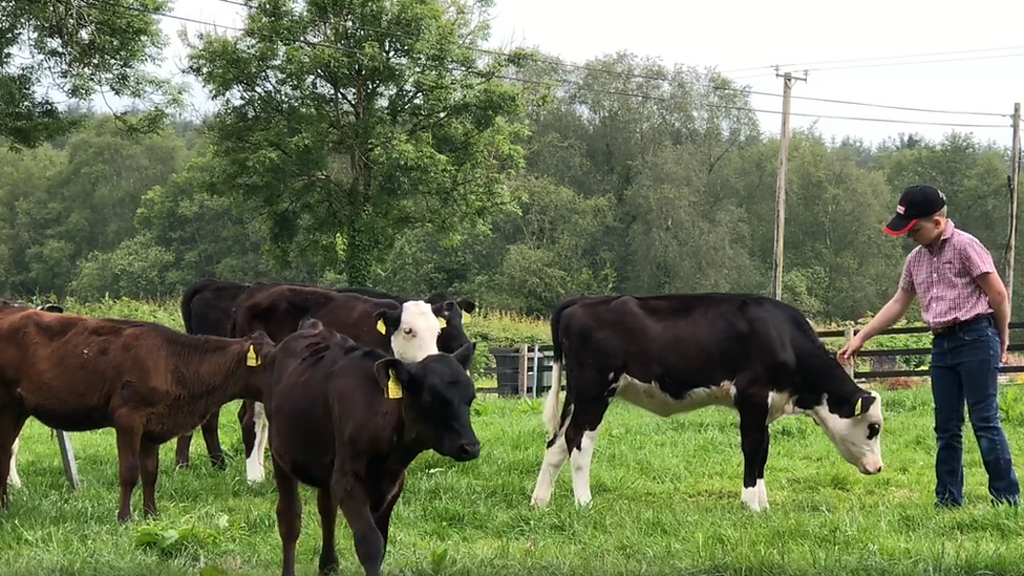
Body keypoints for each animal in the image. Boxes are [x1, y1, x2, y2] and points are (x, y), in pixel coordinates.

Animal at [0, 307, 274, 518]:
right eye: (272, 357)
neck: (173, 363)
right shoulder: (128, 419)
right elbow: (129, 471)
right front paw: (124, 517)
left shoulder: (153, 427)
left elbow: (150, 472)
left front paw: (150, 514)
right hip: (6, 405)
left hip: (19, 409)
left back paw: (5, 506)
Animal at [260, 315, 475, 573]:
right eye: (432, 398)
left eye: (471, 398)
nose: (470, 447)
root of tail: (312, 327)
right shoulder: (347, 480)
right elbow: (370, 543)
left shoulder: (392, 484)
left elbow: (381, 540)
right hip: (280, 453)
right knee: (289, 518)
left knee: (326, 509)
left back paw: (328, 565)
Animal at [532, 293, 884, 508]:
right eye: (874, 428)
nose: (878, 467)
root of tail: (582, 301)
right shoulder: (753, 396)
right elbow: (753, 448)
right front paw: (751, 504)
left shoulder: (766, 407)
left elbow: (763, 453)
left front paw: (763, 503)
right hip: (595, 391)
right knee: (578, 440)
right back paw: (583, 502)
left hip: (577, 394)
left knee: (557, 442)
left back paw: (540, 502)